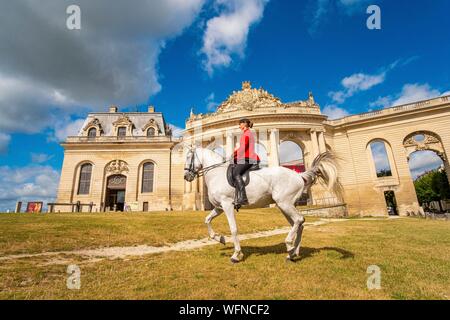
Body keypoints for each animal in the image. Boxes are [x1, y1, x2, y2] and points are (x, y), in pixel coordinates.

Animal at [183, 148, 342, 262]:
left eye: (189, 157)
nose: (186, 177)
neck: (217, 174)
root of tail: (298, 175)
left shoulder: (227, 205)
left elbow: (233, 229)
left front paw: (236, 255)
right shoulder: (219, 207)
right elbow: (207, 220)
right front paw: (220, 239)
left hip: (284, 203)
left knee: (298, 220)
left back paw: (289, 245)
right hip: (284, 205)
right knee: (298, 223)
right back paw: (293, 253)